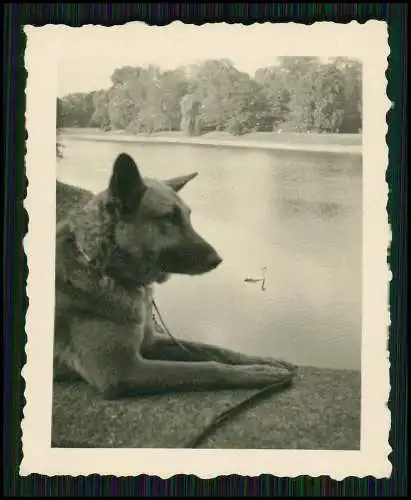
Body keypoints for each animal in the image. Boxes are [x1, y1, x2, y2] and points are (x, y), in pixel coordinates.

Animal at [54, 152, 294, 398]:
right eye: (169, 217)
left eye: (188, 216)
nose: (217, 259)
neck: (102, 265)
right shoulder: (121, 371)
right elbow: (206, 368)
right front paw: (256, 373)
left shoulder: (151, 341)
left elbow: (214, 350)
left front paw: (262, 360)